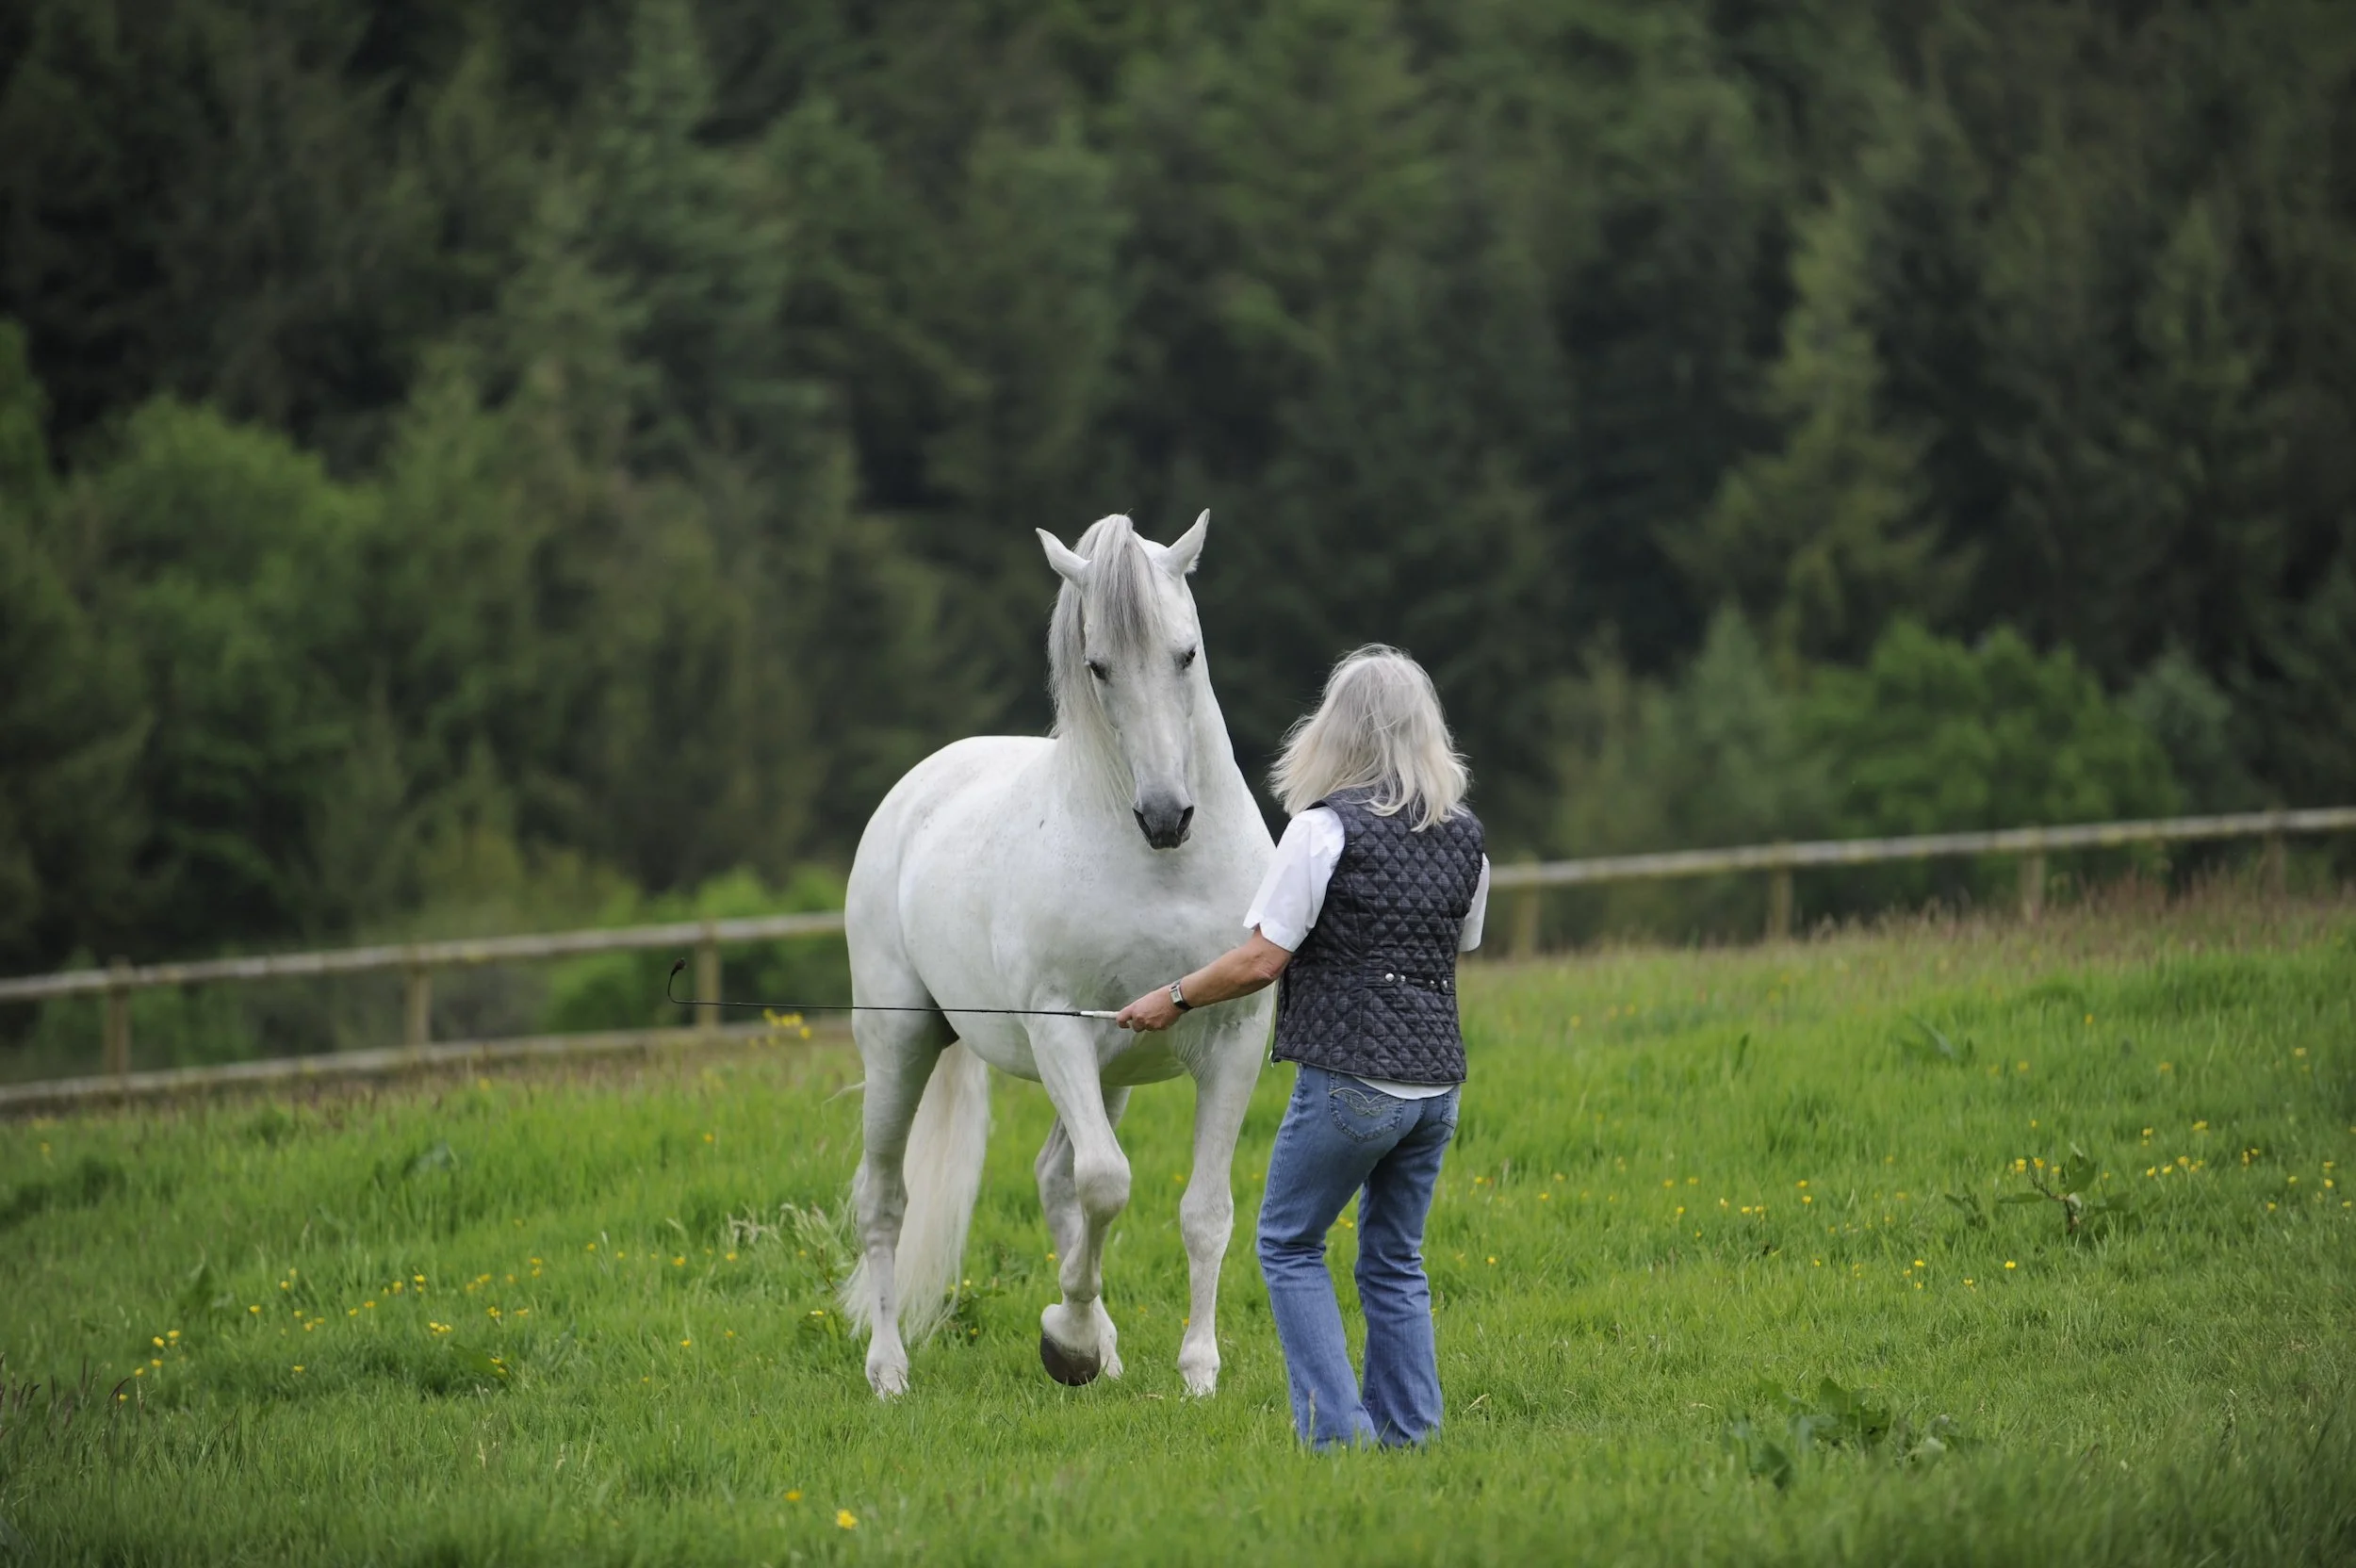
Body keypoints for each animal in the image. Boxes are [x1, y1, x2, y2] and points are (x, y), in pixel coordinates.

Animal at [840, 512, 1275, 1398]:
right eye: (1098, 665)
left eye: (1186, 653)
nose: (1166, 816)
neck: (1166, 870)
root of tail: (917, 788)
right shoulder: (1059, 1029)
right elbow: (1106, 1183)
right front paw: (1066, 1340)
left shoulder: (1234, 1040)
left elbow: (1203, 1211)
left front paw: (1196, 1370)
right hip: (901, 1044)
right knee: (885, 1200)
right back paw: (889, 1369)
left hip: (1111, 1073)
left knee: (1052, 1176)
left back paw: (1103, 1353)